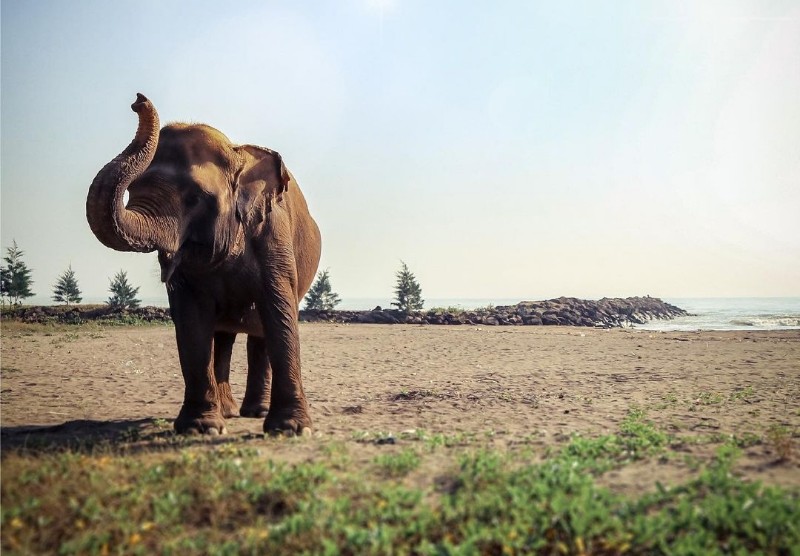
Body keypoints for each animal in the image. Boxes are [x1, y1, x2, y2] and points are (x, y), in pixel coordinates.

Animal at [88, 94, 322, 434]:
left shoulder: (273, 235)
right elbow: (192, 319)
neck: (238, 154)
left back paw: (255, 411)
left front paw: (291, 428)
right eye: (133, 190)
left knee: (257, 334)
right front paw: (202, 427)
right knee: (223, 338)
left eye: (195, 197)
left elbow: (279, 310)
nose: (137, 101)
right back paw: (229, 411)